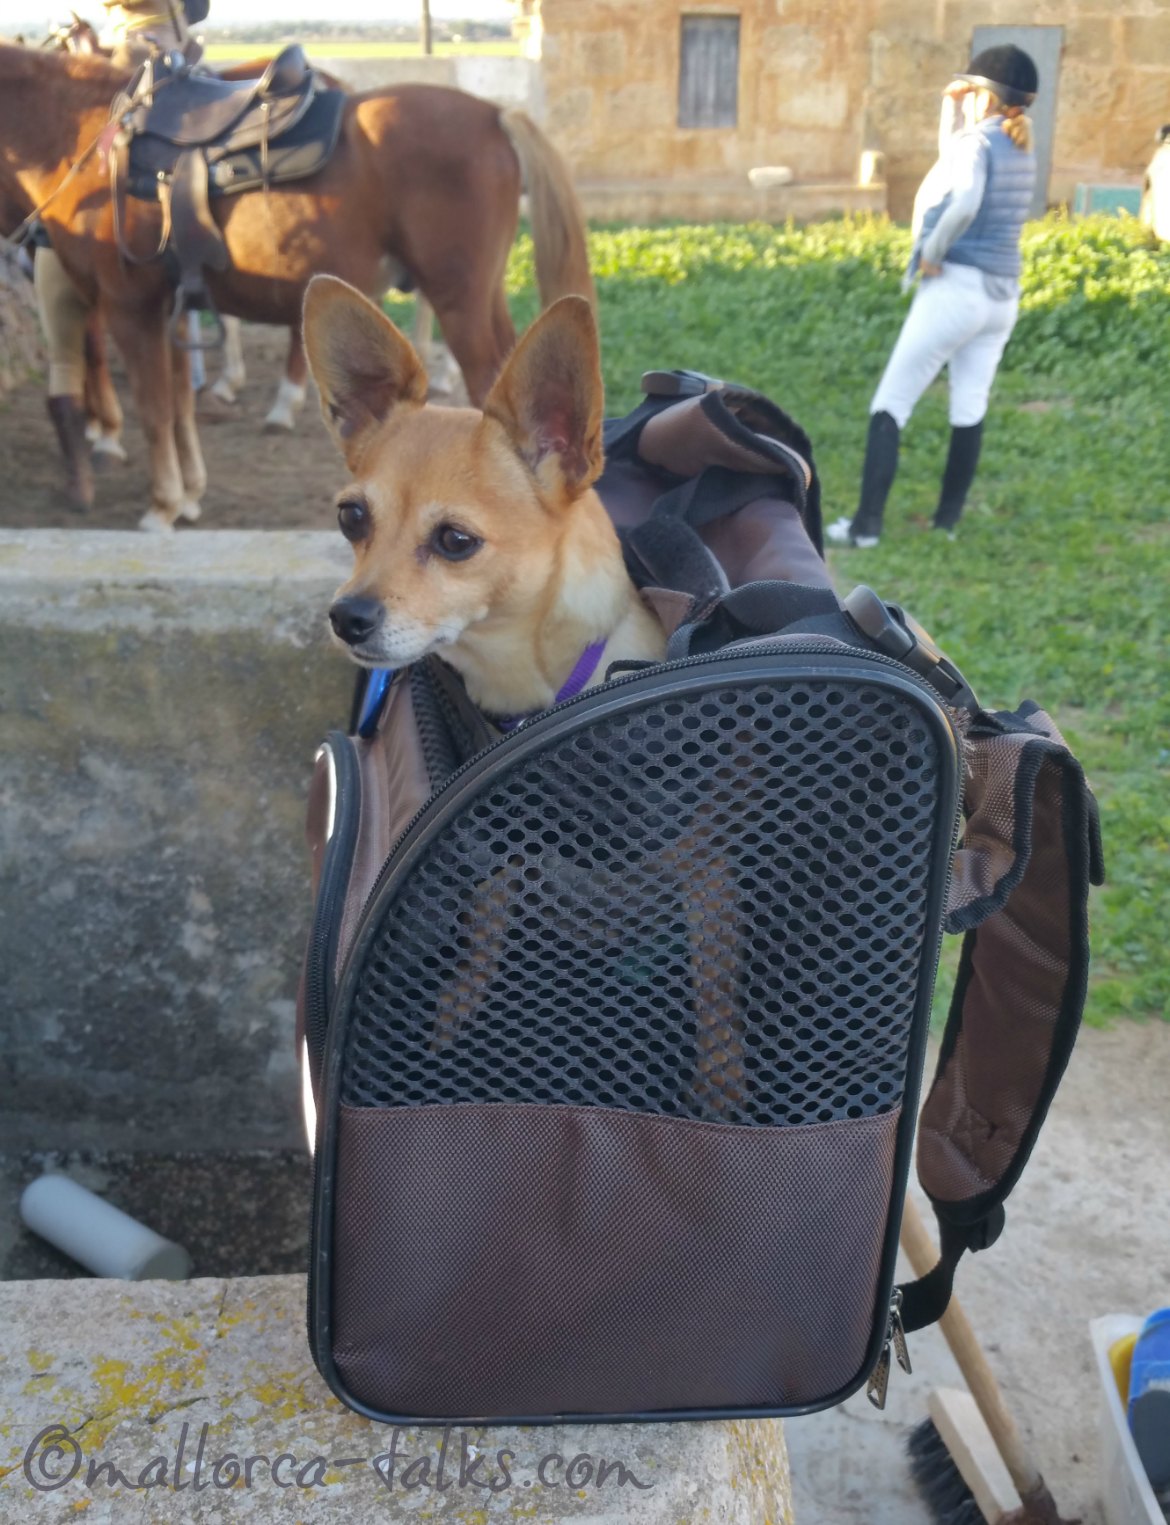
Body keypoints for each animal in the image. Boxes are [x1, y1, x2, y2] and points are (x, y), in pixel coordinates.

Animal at [0, 45, 593, 529]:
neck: (86, 143)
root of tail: (495, 113)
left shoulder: (130, 308)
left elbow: (154, 410)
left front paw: (162, 506)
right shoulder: (168, 309)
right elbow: (179, 406)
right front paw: (189, 495)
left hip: (458, 302)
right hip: (482, 299)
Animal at [303, 277, 745, 1118]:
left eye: (455, 541)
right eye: (351, 517)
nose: (349, 615)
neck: (524, 682)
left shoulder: (709, 869)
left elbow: (715, 983)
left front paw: (721, 1083)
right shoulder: (497, 849)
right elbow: (487, 916)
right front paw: (460, 1005)